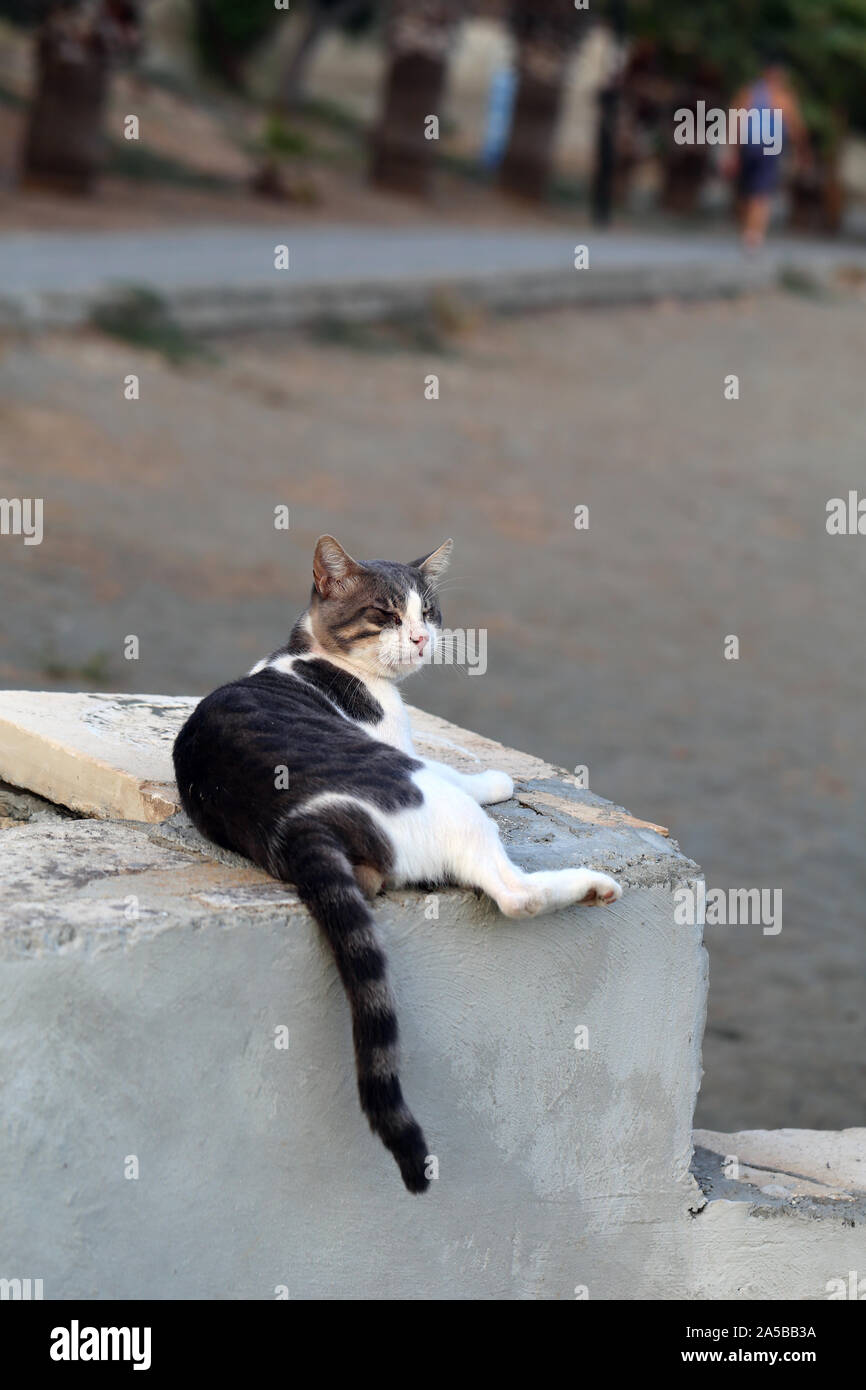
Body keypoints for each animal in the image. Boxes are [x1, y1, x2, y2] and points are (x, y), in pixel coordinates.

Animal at [173, 536, 622, 1189]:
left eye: (426, 612)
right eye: (386, 615)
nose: (420, 639)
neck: (316, 654)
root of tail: (296, 821)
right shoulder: (405, 750)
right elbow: (455, 768)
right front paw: (497, 778)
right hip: (434, 799)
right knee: (514, 893)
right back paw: (592, 886)